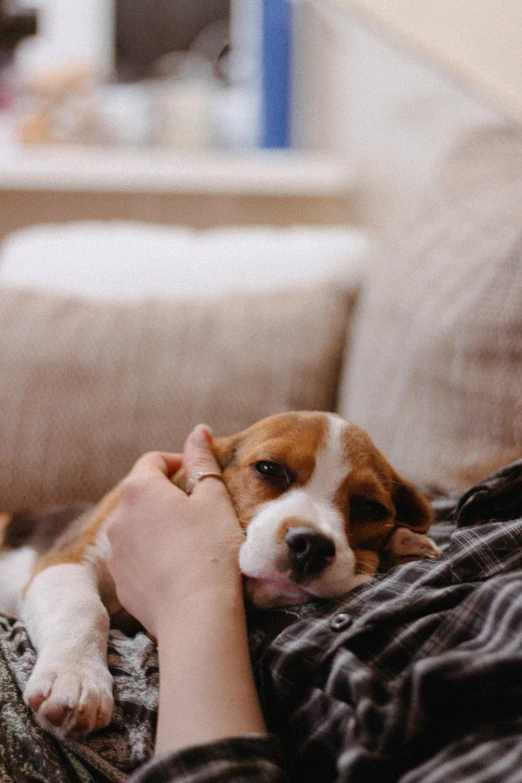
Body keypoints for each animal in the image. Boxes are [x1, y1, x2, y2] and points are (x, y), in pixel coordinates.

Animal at [0, 414, 438, 740]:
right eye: (269, 469)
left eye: (370, 508)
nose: (311, 546)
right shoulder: (69, 558)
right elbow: (85, 610)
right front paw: (75, 679)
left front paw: (402, 541)